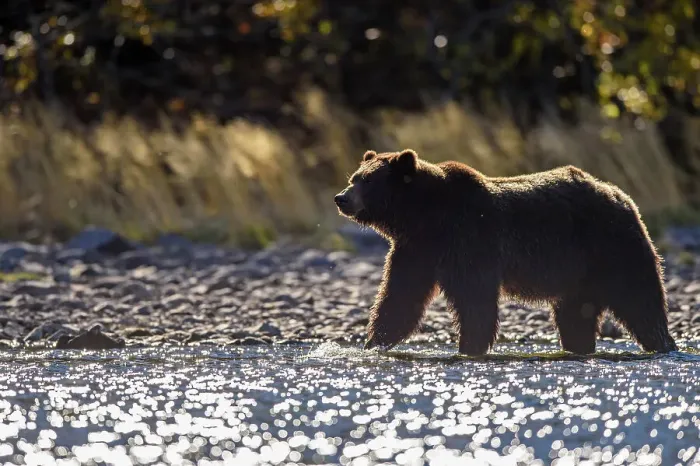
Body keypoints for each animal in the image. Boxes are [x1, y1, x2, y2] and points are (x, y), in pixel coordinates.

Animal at [333, 148, 678, 356]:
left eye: (368, 181)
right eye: (354, 177)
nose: (341, 198)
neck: (425, 217)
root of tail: (621, 195)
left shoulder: (470, 240)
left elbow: (475, 301)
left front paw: (469, 347)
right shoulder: (416, 250)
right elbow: (399, 299)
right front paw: (373, 343)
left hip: (611, 247)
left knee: (640, 301)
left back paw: (663, 344)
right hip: (578, 273)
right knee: (575, 315)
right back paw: (578, 347)